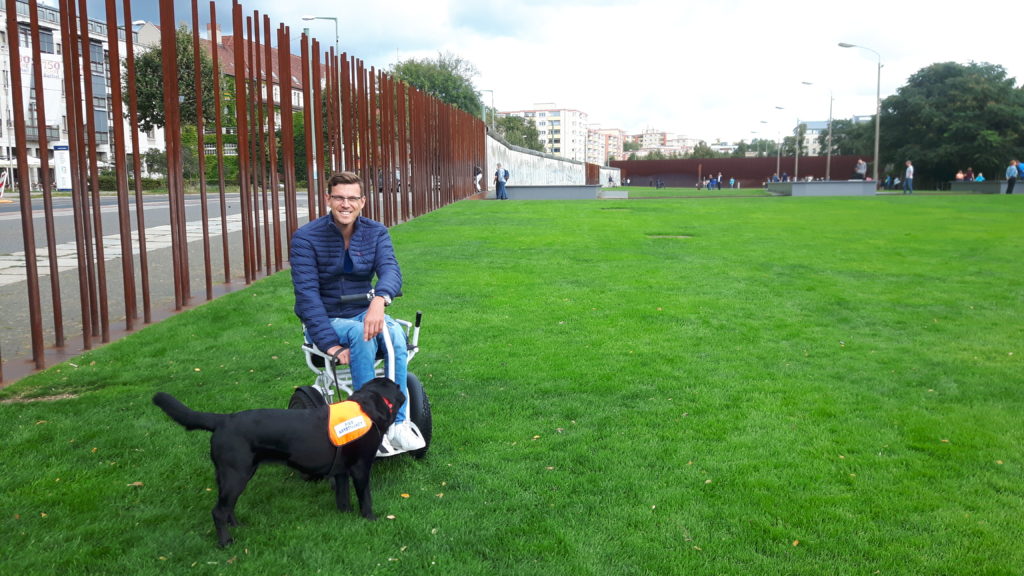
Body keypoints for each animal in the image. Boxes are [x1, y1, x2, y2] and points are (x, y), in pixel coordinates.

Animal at [151, 375, 403, 545]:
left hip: (232, 474)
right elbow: (365, 498)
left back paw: (238, 525)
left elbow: (343, 497)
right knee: (218, 511)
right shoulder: (360, 468)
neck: (367, 407)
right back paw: (226, 542)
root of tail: (223, 420)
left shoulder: (340, 471)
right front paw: (370, 519)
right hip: (237, 474)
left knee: (227, 506)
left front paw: (346, 515)